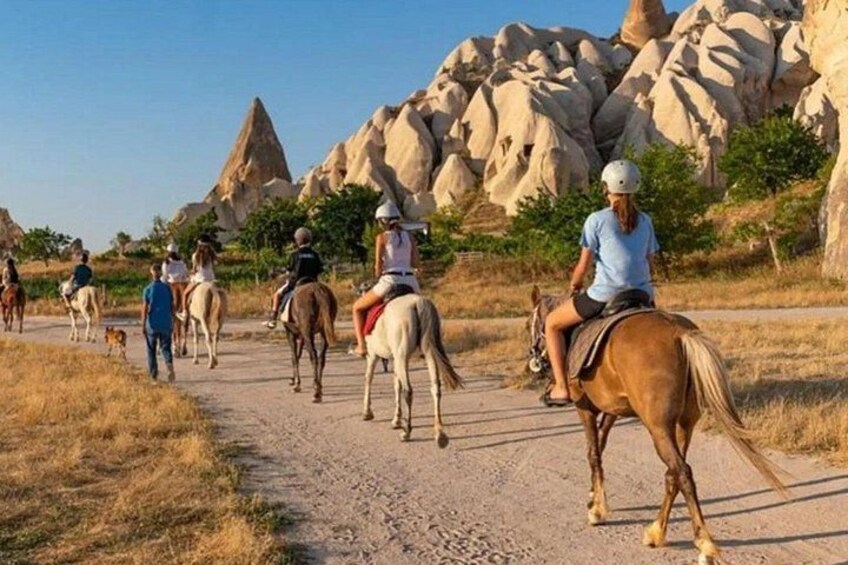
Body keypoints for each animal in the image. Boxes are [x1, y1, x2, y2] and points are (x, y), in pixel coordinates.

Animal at [361, 294, 463, 448]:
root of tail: (418, 302)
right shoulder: (396, 360)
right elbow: (396, 385)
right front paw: (396, 420)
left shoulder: (373, 355)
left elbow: (369, 378)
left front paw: (367, 412)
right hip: (428, 352)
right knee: (435, 389)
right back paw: (440, 434)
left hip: (402, 355)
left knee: (408, 391)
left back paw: (407, 432)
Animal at [529, 287, 785, 565]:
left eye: (531, 322)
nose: (533, 357)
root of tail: (679, 333)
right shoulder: (613, 410)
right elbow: (601, 445)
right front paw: (593, 497)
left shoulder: (584, 407)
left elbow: (593, 452)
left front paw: (596, 510)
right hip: (683, 425)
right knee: (673, 473)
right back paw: (656, 531)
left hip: (658, 427)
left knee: (682, 472)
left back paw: (704, 543)